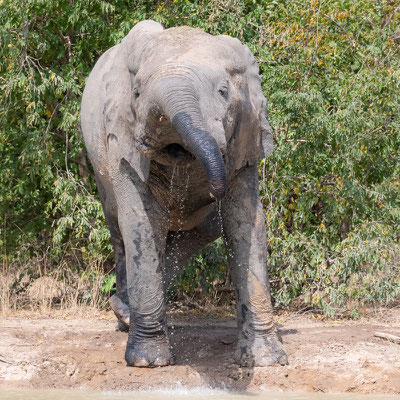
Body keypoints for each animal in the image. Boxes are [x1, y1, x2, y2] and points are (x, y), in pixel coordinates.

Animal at [80, 20, 288, 368]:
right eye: (136, 94)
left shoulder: (245, 137)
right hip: (99, 167)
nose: (215, 190)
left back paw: (124, 312)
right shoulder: (121, 143)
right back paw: (124, 315)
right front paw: (148, 361)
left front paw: (265, 360)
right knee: (120, 231)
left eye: (223, 92)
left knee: (206, 228)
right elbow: (141, 223)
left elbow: (244, 222)